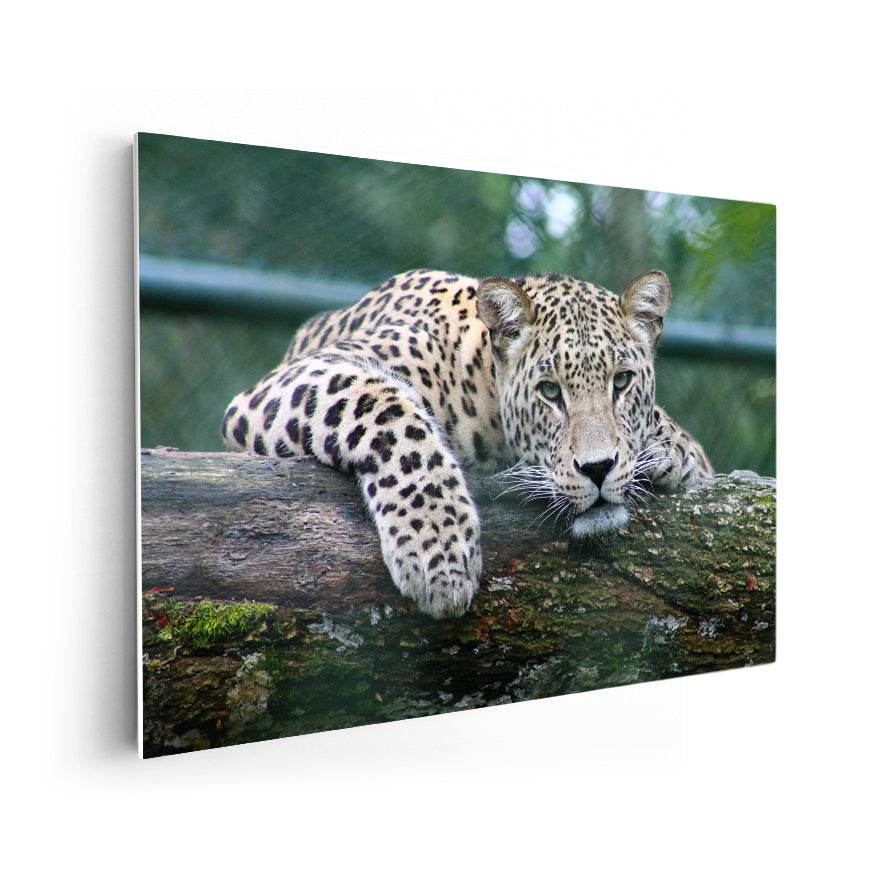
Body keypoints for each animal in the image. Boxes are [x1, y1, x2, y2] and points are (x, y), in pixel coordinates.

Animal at [222, 268, 713, 618]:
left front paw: (676, 449)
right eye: (550, 391)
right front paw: (438, 549)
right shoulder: (290, 381)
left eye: (622, 382)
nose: (598, 468)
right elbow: (385, 408)